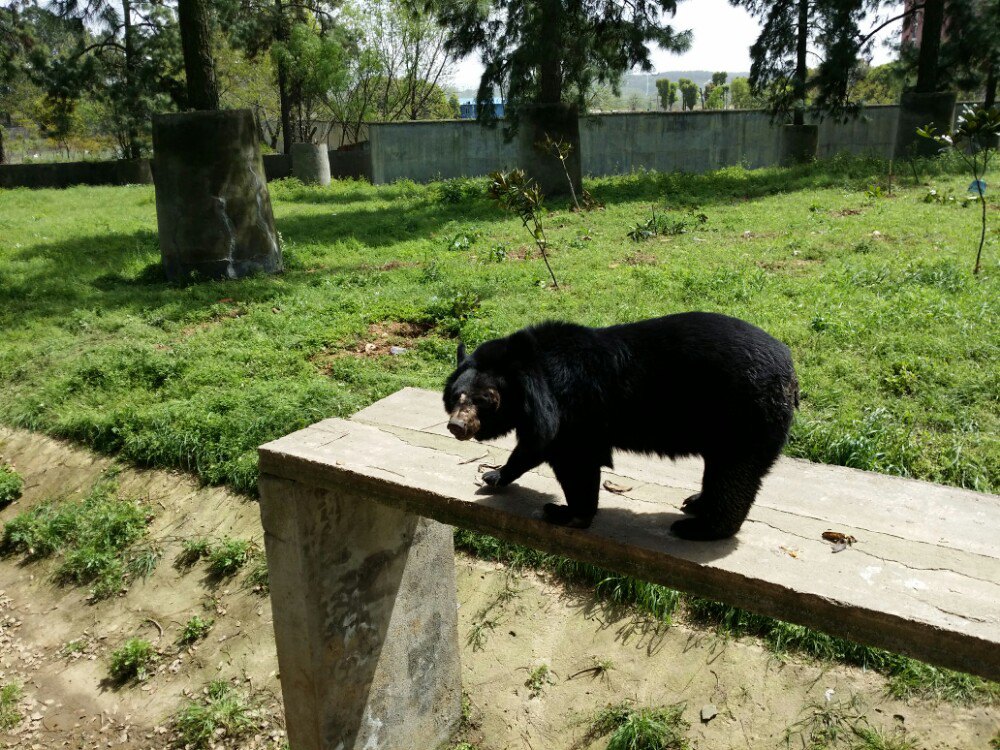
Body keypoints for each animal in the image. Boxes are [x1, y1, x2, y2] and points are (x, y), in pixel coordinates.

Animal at [442, 312, 800, 540]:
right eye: (457, 396)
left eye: (485, 399)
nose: (457, 426)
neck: (534, 384)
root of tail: (790, 370)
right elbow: (535, 447)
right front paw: (494, 475)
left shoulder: (572, 410)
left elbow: (575, 462)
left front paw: (564, 512)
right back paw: (696, 503)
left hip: (744, 416)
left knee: (734, 474)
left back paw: (699, 528)